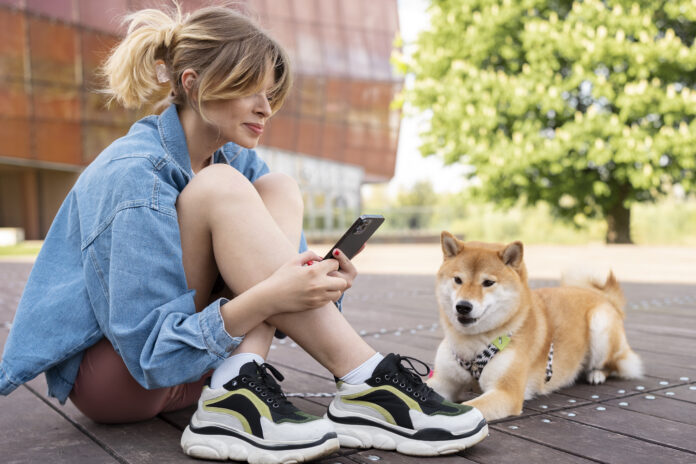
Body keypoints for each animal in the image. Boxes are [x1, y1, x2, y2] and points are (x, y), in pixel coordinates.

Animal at [426, 232, 644, 420]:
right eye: (457, 280)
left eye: (488, 283)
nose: (463, 306)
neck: (471, 344)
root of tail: (603, 297)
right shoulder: (444, 381)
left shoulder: (506, 392)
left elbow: (471, 407)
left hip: (600, 326)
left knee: (615, 365)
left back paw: (596, 374)